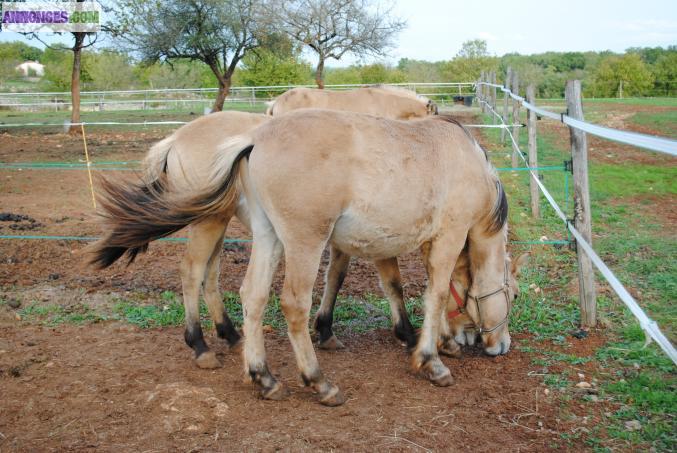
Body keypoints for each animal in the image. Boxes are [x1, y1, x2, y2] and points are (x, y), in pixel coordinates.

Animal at [91, 110, 516, 406]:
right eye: (512, 294)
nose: (502, 345)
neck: (466, 161)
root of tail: (253, 140)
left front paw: (438, 341)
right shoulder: (446, 237)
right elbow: (434, 292)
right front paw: (429, 357)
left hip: (264, 236)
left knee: (250, 295)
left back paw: (261, 374)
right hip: (288, 239)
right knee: (275, 298)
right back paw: (312, 380)